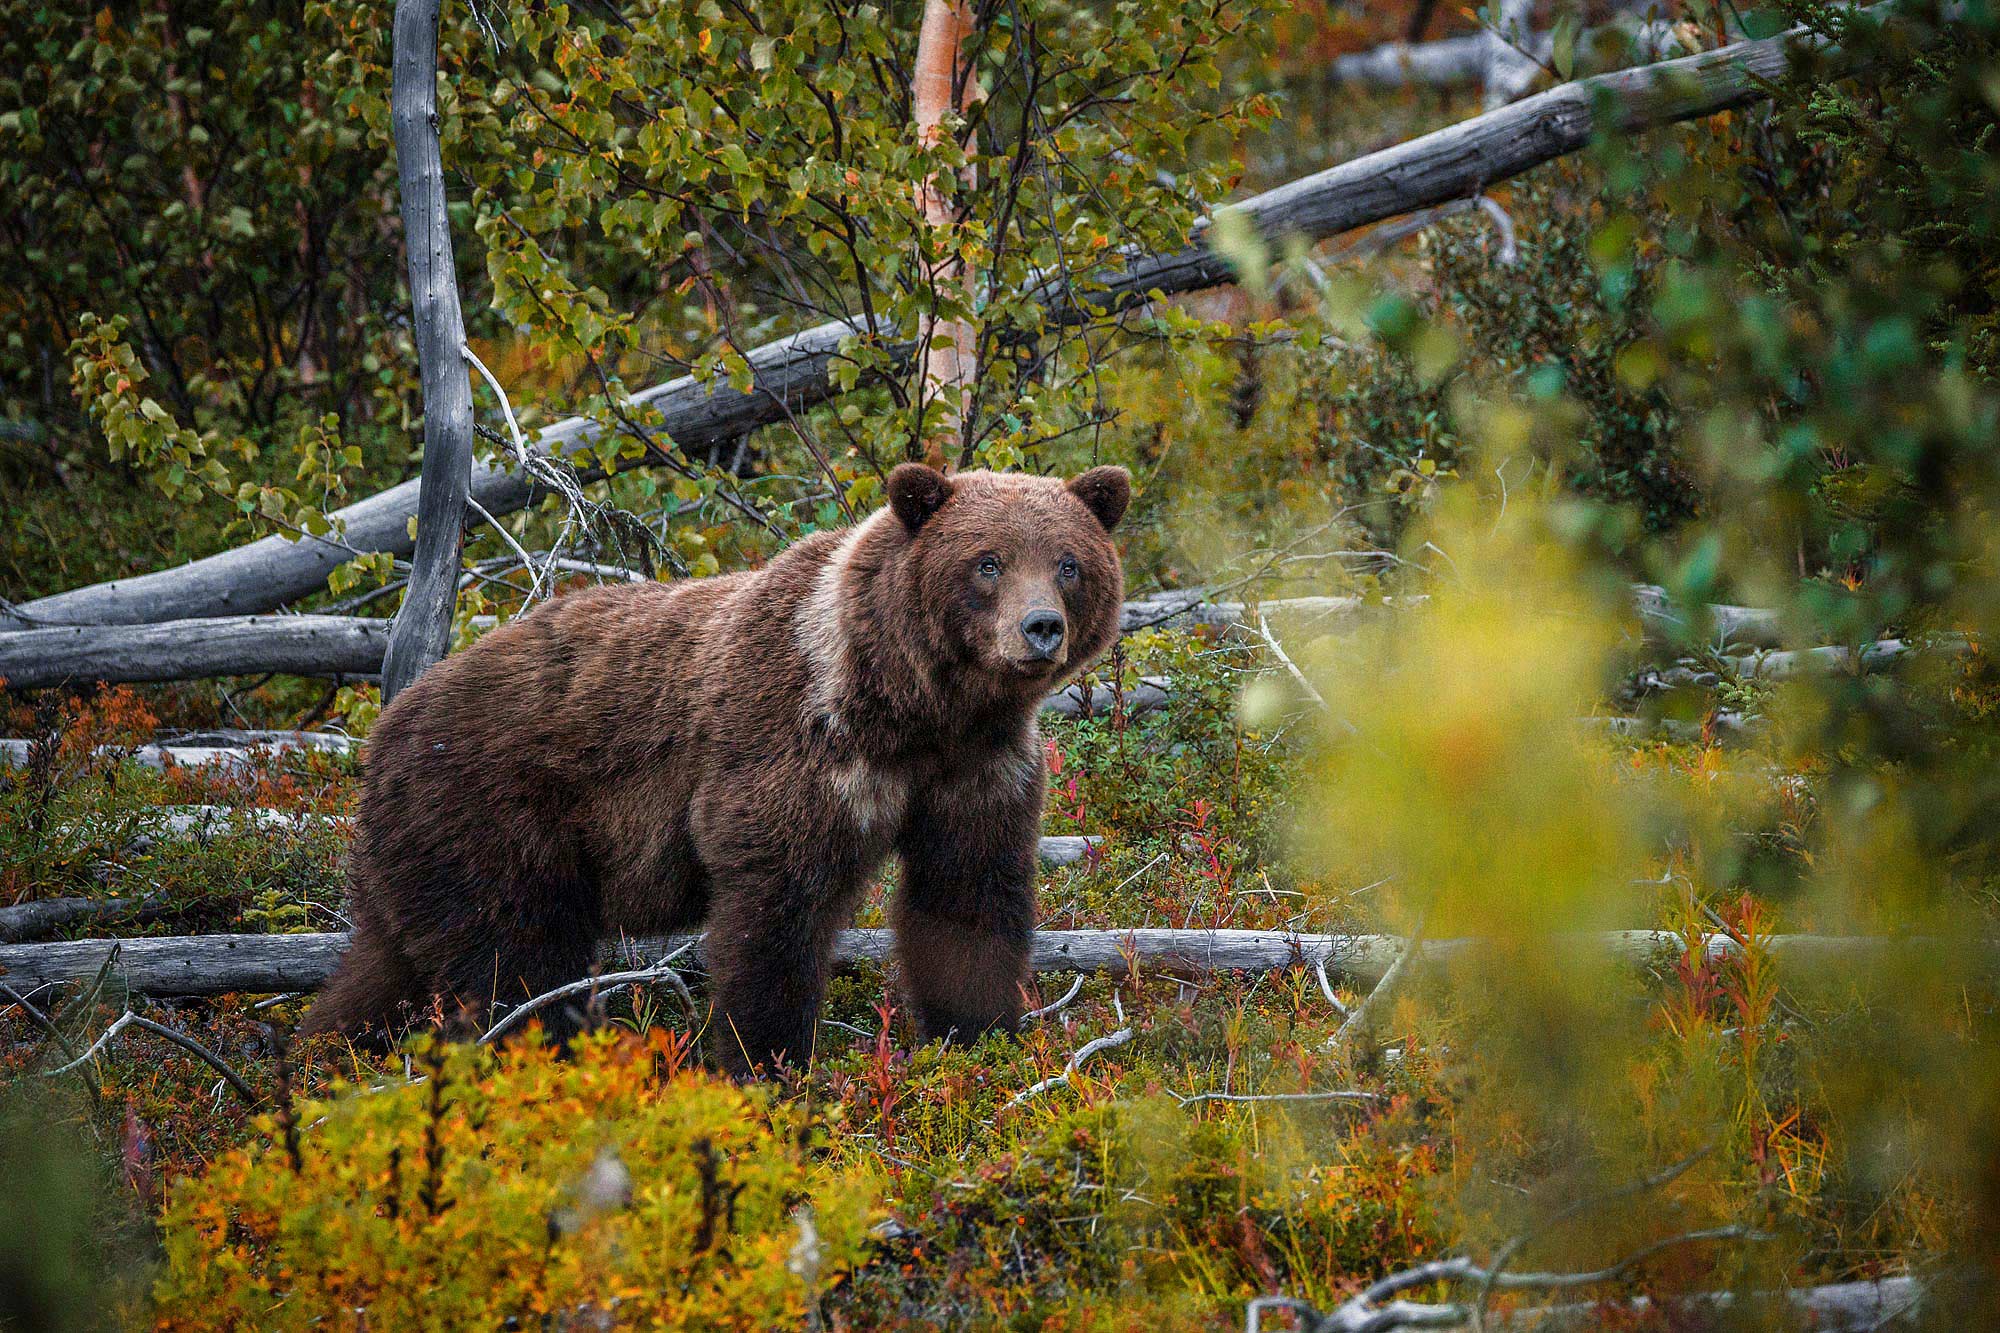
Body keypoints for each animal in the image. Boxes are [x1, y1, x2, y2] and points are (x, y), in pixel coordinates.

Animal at [304, 462, 1136, 1064]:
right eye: (987, 562)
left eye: (1067, 562)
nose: (1040, 627)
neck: (911, 709)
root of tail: (382, 731)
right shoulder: (796, 746)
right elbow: (775, 908)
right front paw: (764, 1058)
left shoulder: (976, 768)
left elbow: (968, 898)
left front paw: (980, 1035)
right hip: (491, 818)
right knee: (516, 966)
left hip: (421, 856)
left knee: (383, 968)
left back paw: (320, 1048)